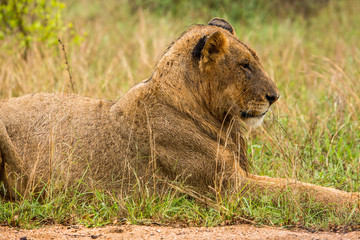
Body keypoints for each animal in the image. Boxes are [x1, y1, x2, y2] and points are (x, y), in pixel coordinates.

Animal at [0, 18, 358, 206]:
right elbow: (303, 191)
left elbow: (300, 185)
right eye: (244, 65)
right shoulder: (228, 188)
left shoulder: (238, 178)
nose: (275, 97)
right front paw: (352, 203)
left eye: (254, 60)